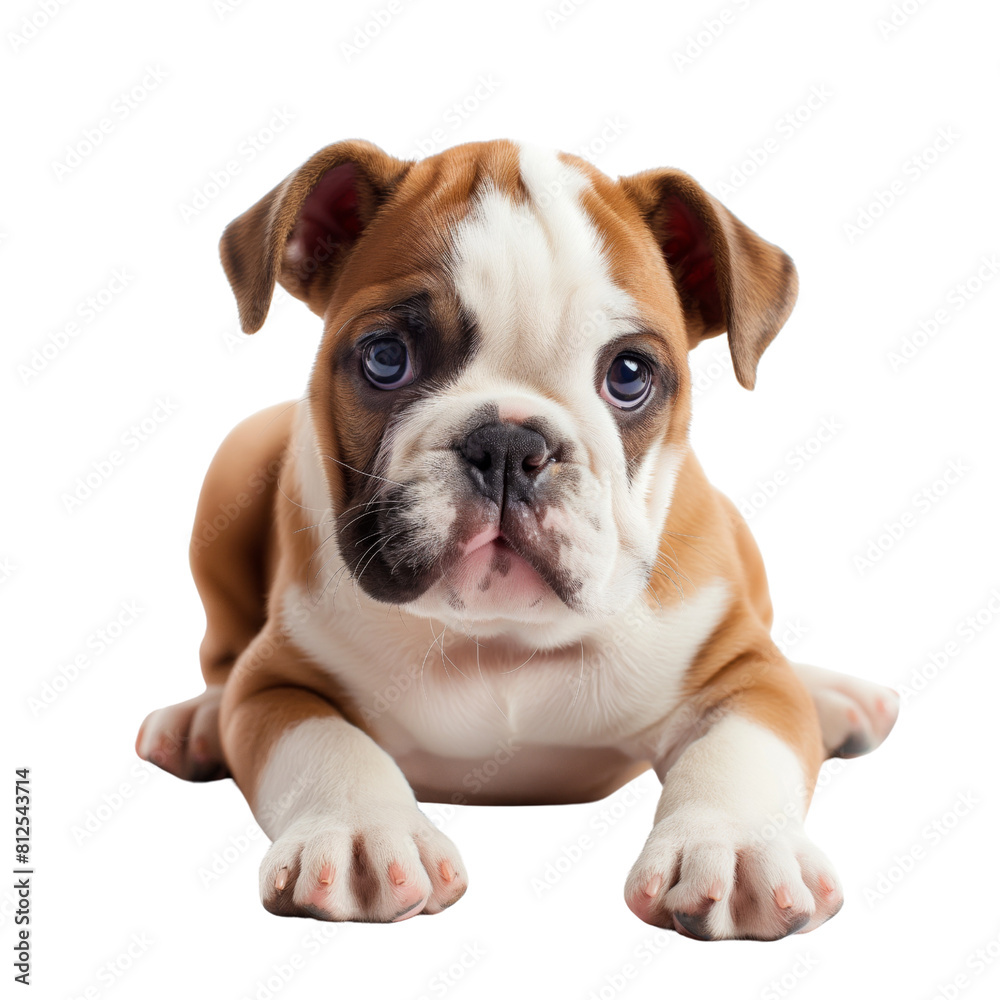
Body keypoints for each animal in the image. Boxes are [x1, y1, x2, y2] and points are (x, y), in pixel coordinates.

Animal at [135, 141, 900, 936]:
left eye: (630, 374)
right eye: (385, 357)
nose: (507, 445)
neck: (501, 639)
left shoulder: (743, 673)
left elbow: (742, 751)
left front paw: (737, 848)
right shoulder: (278, 681)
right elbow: (325, 745)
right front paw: (359, 834)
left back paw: (833, 696)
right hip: (232, 471)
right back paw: (196, 721)